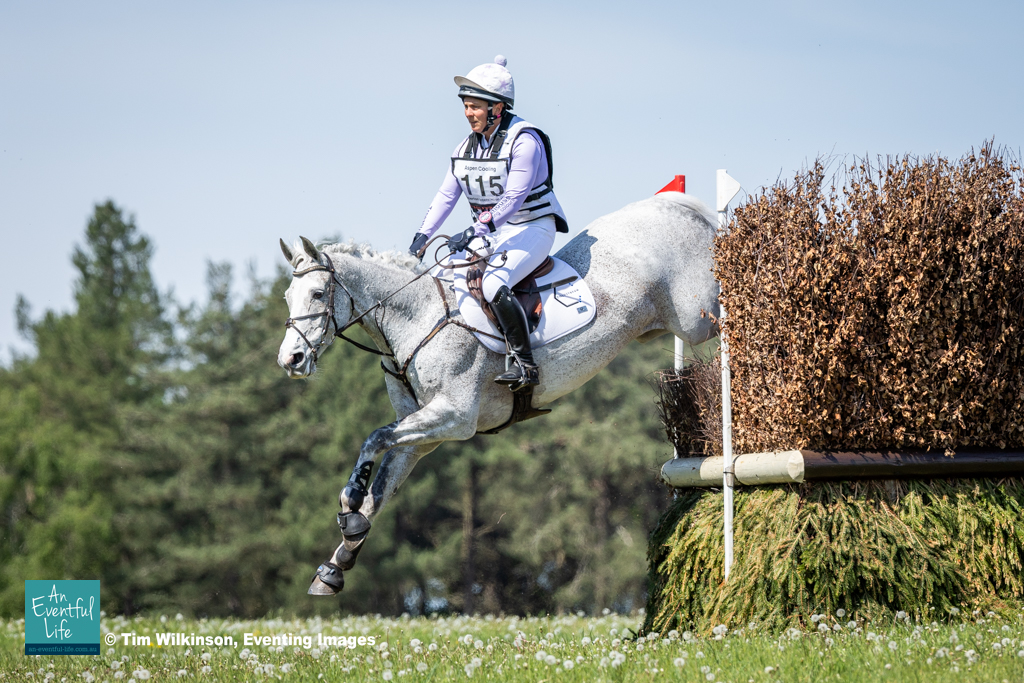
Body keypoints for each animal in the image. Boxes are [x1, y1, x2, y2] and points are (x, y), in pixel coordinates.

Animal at [277, 192, 720, 595]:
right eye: (287, 297)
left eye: (318, 294)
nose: (290, 360)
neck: (415, 319)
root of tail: (677, 206)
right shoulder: (421, 435)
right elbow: (379, 488)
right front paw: (338, 563)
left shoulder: (454, 417)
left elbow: (374, 439)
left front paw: (348, 505)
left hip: (697, 318)